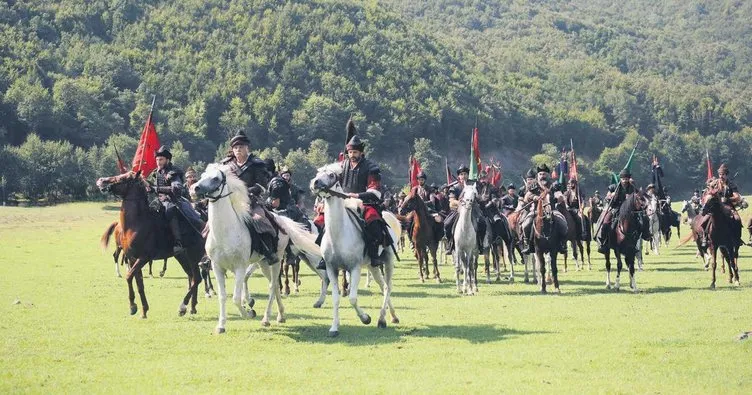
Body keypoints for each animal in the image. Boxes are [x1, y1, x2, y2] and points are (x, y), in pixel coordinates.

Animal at [96, 172, 206, 318]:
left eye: (123, 178)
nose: (101, 181)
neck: (136, 224)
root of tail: (204, 225)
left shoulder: (144, 258)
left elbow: (129, 276)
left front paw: (133, 306)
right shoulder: (132, 259)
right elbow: (139, 284)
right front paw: (143, 310)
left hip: (194, 257)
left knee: (197, 278)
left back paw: (183, 307)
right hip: (182, 257)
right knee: (192, 277)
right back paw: (192, 307)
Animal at [191, 164, 324, 334]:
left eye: (215, 178)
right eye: (203, 175)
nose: (195, 188)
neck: (226, 231)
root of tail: (281, 219)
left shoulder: (240, 267)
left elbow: (236, 298)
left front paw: (249, 312)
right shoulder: (217, 267)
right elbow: (223, 296)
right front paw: (221, 325)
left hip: (279, 261)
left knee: (274, 285)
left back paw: (266, 319)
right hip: (264, 263)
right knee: (275, 286)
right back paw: (281, 315)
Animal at [310, 162, 400, 338]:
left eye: (331, 175)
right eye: (318, 173)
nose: (315, 183)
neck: (339, 233)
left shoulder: (355, 268)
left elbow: (352, 298)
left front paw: (366, 318)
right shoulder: (331, 268)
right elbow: (336, 298)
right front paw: (334, 328)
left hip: (388, 261)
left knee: (388, 287)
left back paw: (381, 319)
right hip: (373, 266)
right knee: (383, 286)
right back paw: (392, 316)